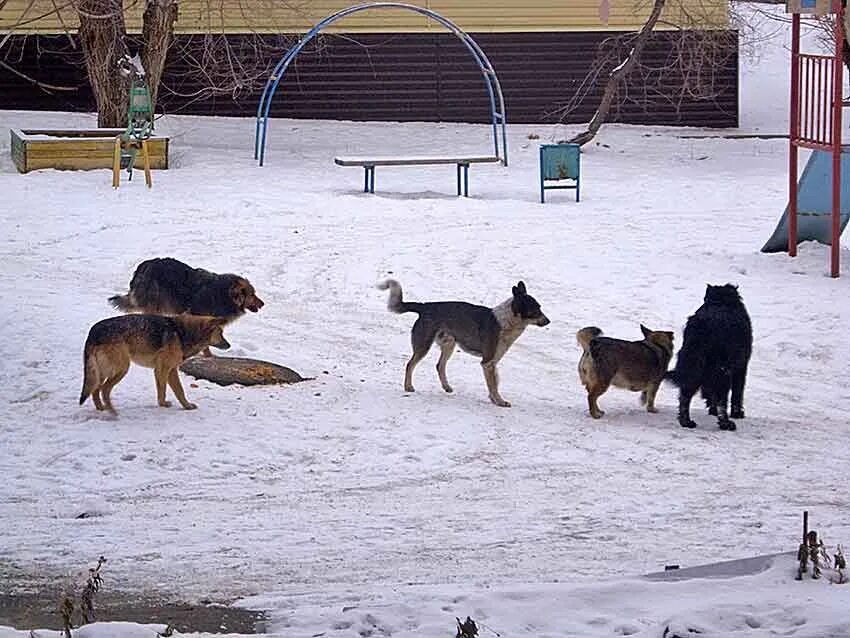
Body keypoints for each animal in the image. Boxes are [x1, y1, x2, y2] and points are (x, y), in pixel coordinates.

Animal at [79, 316, 229, 416]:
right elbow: (176, 390)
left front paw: (169, 405)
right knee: (104, 390)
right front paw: (185, 406)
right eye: (220, 333)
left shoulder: (167, 371)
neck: (182, 333)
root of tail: (93, 331)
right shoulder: (165, 369)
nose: (229, 345)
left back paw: (101, 409)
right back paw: (112, 412)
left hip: (102, 372)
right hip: (121, 369)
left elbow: (168, 391)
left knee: (95, 390)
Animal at [664, 286, 752, 432]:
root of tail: (702, 326)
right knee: (722, 399)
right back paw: (726, 424)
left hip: (692, 363)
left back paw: (686, 422)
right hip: (722, 370)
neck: (720, 302)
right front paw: (737, 413)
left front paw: (712, 409)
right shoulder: (741, 367)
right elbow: (737, 393)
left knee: (685, 395)